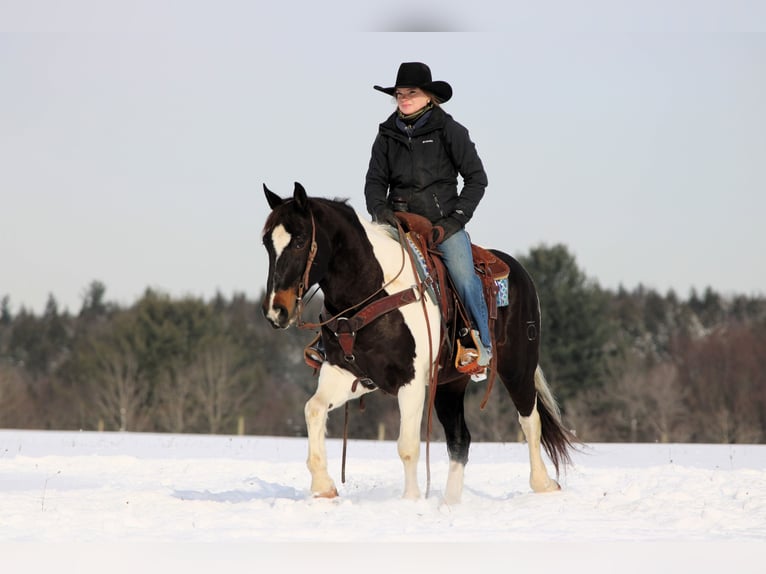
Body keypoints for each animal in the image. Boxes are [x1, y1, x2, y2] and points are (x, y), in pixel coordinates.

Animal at [260, 181, 576, 504]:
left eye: (300, 241)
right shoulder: (347, 374)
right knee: (460, 439)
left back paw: (543, 483)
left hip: (517, 367)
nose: (276, 311)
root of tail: (520, 272)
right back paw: (450, 502)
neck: (373, 290)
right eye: (266, 243)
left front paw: (410, 500)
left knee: (530, 420)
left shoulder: (410, 381)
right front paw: (323, 486)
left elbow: (408, 446)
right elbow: (313, 409)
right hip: (450, 385)